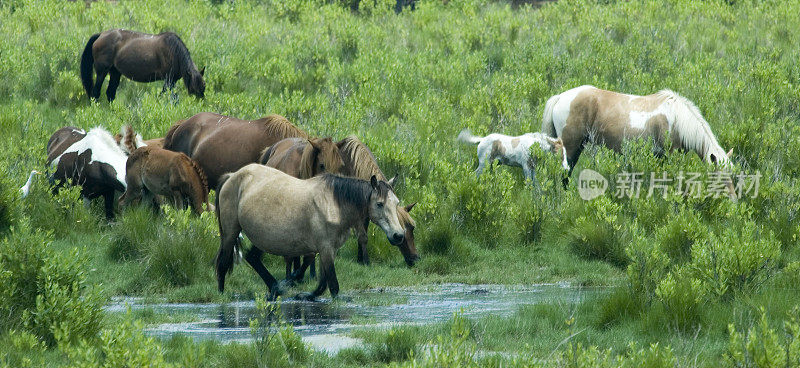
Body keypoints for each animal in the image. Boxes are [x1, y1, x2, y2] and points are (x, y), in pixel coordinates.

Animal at [214, 165, 406, 300]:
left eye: (396, 203)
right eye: (380, 204)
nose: (398, 236)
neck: (334, 204)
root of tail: (232, 176)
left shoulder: (329, 249)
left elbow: (322, 283)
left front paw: (305, 294)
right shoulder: (326, 248)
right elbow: (333, 286)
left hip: (263, 237)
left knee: (252, 257)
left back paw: (275, 288)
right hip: (231, 232)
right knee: (223, 263)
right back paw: (222, 294)